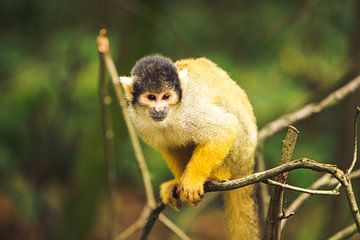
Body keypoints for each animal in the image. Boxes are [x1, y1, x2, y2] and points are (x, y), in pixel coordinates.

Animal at [120, 55, 258, 239]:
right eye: (151, 97)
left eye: (166, 96)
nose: (160, 109)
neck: (173, 115)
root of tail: (247, 164)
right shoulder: (136, 120)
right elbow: (170, 146)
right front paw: (179, 183)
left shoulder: (190, 112)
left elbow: (224, 129)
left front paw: (191, 181)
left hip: (242, 150)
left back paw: (218, 174)